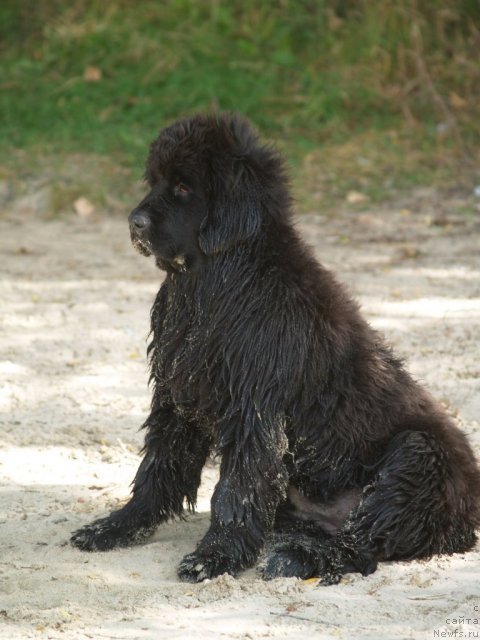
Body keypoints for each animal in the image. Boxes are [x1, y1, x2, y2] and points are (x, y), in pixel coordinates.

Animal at [71, 112, 480, 584]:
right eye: (154, 181)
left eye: (183, 187)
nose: (133, 221)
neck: (222, 281)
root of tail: (470, 517)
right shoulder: (178, 394)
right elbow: (158, 468)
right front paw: (114, 527)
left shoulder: (254, 408)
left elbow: (237, 488)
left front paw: (214, 556)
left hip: (416, 457)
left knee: (363, 542)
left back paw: (297, 559)